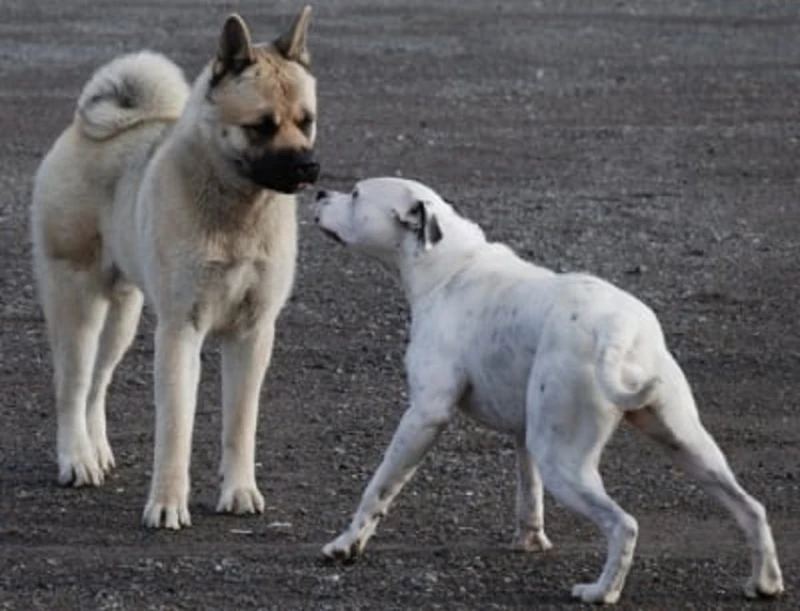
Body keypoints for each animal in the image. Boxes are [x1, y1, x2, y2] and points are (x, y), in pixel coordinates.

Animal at [316, 178, 784, 608]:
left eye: (355, 194)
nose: (319, 192)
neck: (449, 266)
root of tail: (619, 328)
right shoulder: (524, 435)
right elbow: (529, 494)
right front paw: (529, 541)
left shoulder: (424, 415)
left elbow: (379, 488)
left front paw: (346, 544)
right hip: (686, 445)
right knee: (751, 508)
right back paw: (764, 582)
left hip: (565, 462)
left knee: (623, 525)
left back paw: (601, 591)